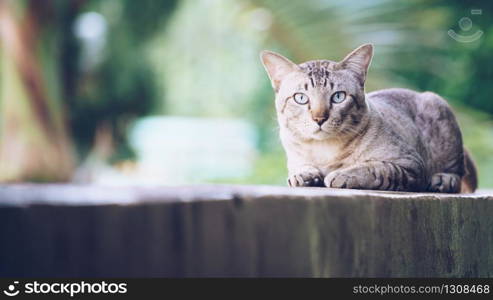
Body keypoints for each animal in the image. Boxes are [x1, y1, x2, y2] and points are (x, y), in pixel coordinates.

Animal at [262, 44, 476, 193]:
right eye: (301, 98)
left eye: (338, 97)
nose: (319, 118)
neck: (325, 152)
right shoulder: (296, 159)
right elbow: (300, 169)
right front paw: (304, 175)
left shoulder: (411, 165)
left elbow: (377, 168)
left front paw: (343, 174)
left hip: (439, 110)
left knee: (457, 174)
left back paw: (443, 180)